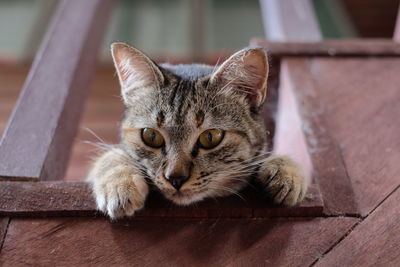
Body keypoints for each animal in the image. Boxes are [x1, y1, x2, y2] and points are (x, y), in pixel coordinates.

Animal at [86, 43, 308, 220]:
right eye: (151, 136)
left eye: (210, 137)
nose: (175, 178)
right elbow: (112, 155)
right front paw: (119, 185)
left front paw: (286, 172)